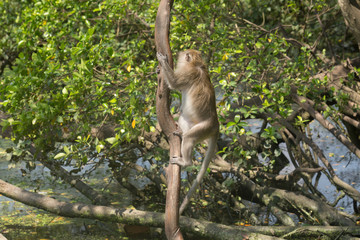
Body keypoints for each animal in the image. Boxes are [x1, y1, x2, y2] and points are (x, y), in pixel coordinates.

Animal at [155, 49, 218, 214]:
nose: (179, 54)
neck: (197, 64)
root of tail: (216, 125)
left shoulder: (188, 72)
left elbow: (174, 83)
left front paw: (162, 60)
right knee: (184, 117)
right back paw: (180, 133)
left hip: (204, 128)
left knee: (190, 138)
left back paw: (185, 161)